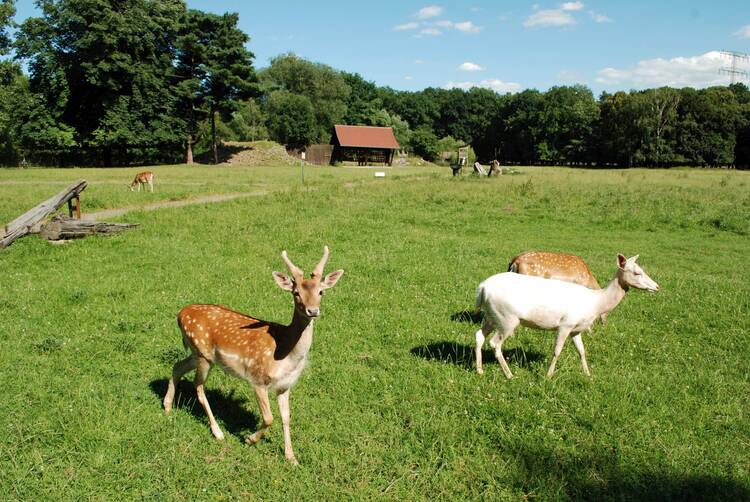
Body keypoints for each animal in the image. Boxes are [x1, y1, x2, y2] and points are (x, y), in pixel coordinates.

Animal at [163, 245, 346, 464]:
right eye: (296, 293)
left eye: (321, 291)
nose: (312, 311)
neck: (285, 353)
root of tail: (180, 313)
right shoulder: (257, 379)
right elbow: (269, 418)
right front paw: (249, 440)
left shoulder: (285, 385)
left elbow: (286, 417)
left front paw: (291, 458)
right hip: (203, 354)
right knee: (198, 386)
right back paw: (217, 432)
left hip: (198, 353)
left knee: (177, 366)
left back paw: (167, 406)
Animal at [478, 255, 660, 376]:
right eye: (636, 272)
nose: (657, 286)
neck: (595, 303)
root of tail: (482, 289)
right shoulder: (566, 324)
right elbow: (557, 351)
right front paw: (548, 376)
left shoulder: (576, 329)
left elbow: (582, 351)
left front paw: (588, 375)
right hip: (507, 318)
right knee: (494, 343)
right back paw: (509, 374)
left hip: (491, 316)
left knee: (479, 335)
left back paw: (479, 370)